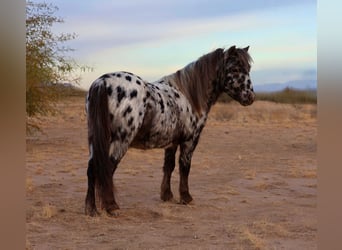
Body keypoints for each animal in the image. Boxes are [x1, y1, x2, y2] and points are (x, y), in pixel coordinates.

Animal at [84, 44, 254, 215]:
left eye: (248, 68)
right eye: (235, 69)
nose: (250, 97)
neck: (189, 95)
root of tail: (102, 82)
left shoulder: (172, 142)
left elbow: (169, 166)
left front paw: (167, 195)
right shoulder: (190, 140)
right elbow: (184, 167)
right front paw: (186, 197)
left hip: (96, 140)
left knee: (92, 169)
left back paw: (91, 209)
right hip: (120, 140)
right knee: (106, 168)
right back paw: (111, 206)